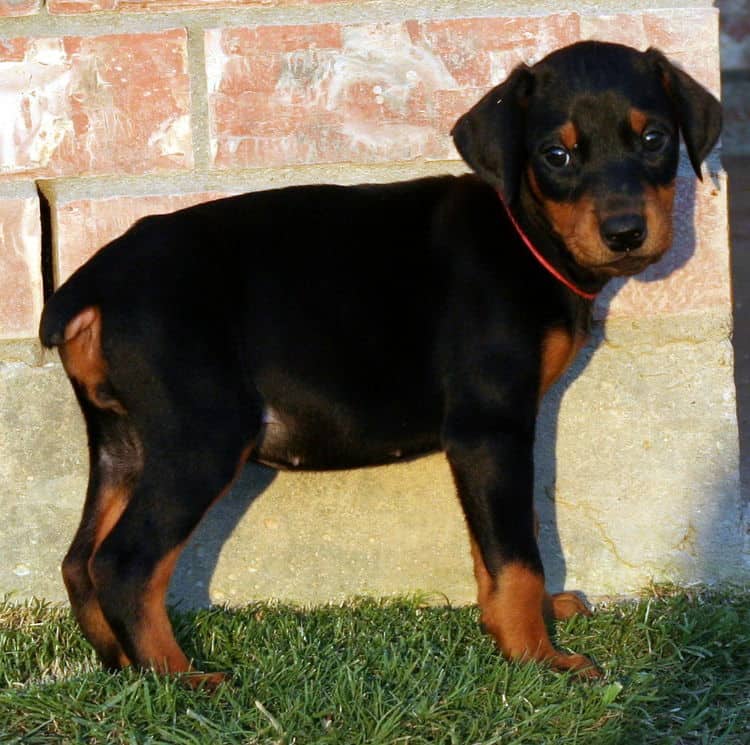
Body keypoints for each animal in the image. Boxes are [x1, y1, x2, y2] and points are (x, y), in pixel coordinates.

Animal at [41, 42, 724, 684]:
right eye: (556, 155)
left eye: (655, 139)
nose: (626, 232)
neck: (523, 231)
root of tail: (91, 284)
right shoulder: (490, 425)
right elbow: (515, 552)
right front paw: (537, 657)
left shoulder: (490, 438)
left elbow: (502, 539)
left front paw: (518, 626)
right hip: (201, 434)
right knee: (125, 564)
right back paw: (181, 680)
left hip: (124, 439)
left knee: (79, 561)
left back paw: (120, 665)